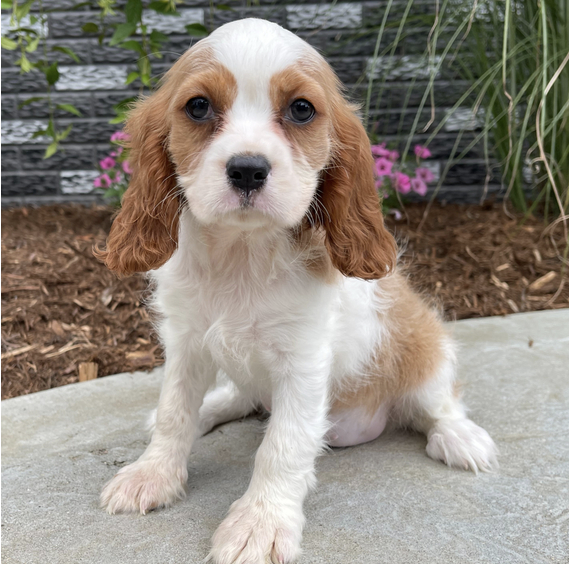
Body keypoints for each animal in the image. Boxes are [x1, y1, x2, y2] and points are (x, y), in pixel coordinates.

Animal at [97, 17, 496, 564]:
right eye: (198, 106)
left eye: (301, 109)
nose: (247, 169)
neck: (241, 254)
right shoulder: (187, 343)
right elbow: (175, 412)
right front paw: (152, 474)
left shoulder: (303, 360)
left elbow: (280, 447)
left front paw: (259, 523)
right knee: (241, 398)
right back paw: (214, 407)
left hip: (423, 346)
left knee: (438, 400)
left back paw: (459, 436)